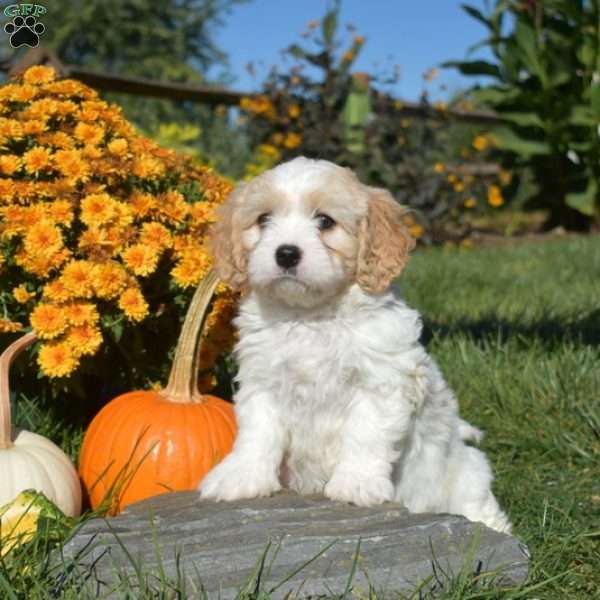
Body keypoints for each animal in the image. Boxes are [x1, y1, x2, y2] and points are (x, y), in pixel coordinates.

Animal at [200, 156, 510, 536]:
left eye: (325, 221)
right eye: (263, 219)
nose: (286, 253)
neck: (312, 317)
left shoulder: (380, 381)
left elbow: (365, 433)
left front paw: (356, 485)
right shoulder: (262, 381)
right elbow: (257, 431)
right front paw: (241, 477)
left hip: (468, 475)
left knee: (481, 507)